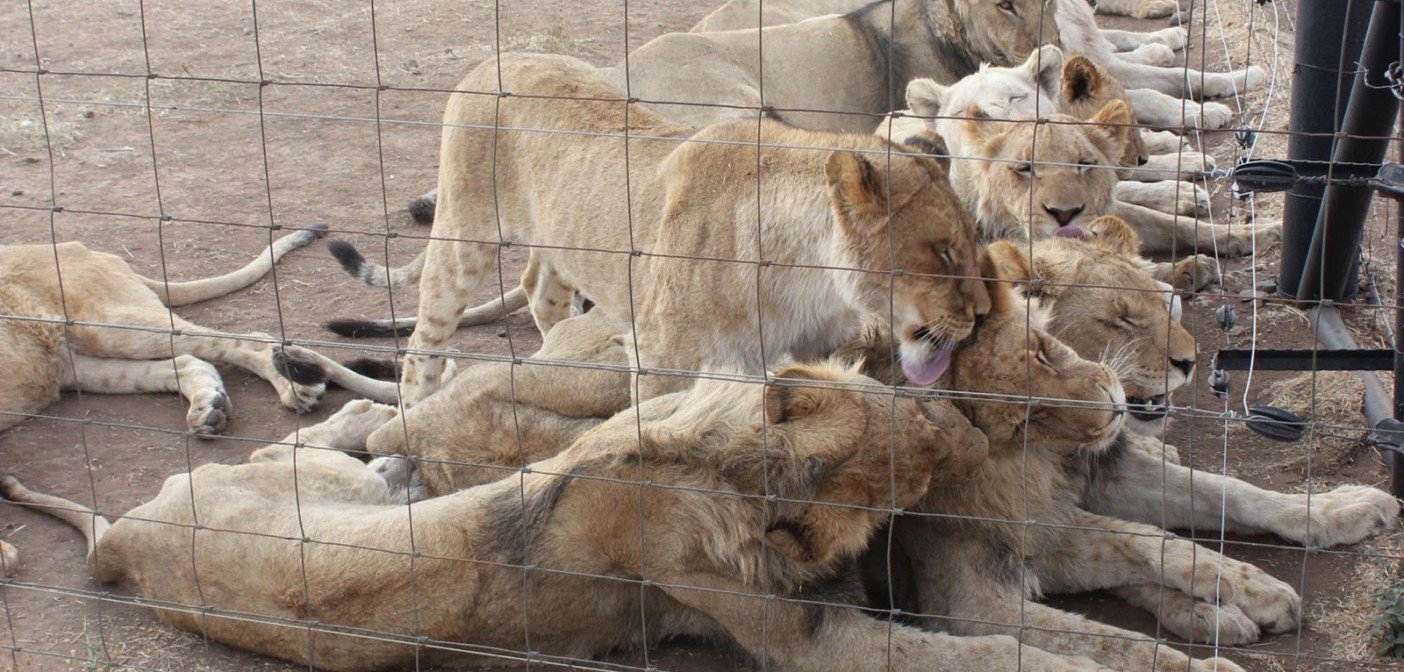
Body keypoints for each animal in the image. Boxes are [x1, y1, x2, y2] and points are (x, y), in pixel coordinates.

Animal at [0, 226, 397, 437]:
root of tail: (77, 247)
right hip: (73, 366)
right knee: (188, 362)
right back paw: (208, 410)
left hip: (109, 324)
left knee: (251, 341)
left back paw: (295, 388)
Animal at [4, 365, 1131, 672]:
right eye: (928, 445)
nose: (970, 420)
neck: (722, 465)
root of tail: (125, 538)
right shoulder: (811, 638)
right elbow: (998, 652)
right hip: (300, 487)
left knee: (363, 431)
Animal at [328, 53, 988, 407]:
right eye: (942, 251)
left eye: (971, 241)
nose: (982, 316)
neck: (808, 278)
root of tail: (499, 57)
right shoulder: (663, 362)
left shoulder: (807, 352)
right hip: (462, 236)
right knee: (425, 341)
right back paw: (412, 412)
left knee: (540, 288)